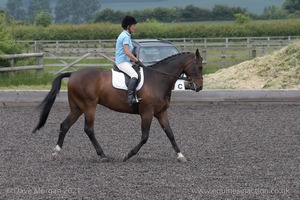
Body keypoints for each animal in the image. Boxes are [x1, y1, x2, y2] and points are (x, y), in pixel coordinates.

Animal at [32, 48, 204, 162]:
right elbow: (145, 137)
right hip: (89, 106)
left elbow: (170, 133)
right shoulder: (147, 112)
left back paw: (56, 152)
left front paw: (180, 155)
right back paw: (103, 155)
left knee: (65, 125)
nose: (200, 87)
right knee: (88, 129)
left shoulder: (161, 112)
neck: (158, 79)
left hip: (77, 107)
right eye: (200, 67)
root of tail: (73, 73)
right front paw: (128, 155)